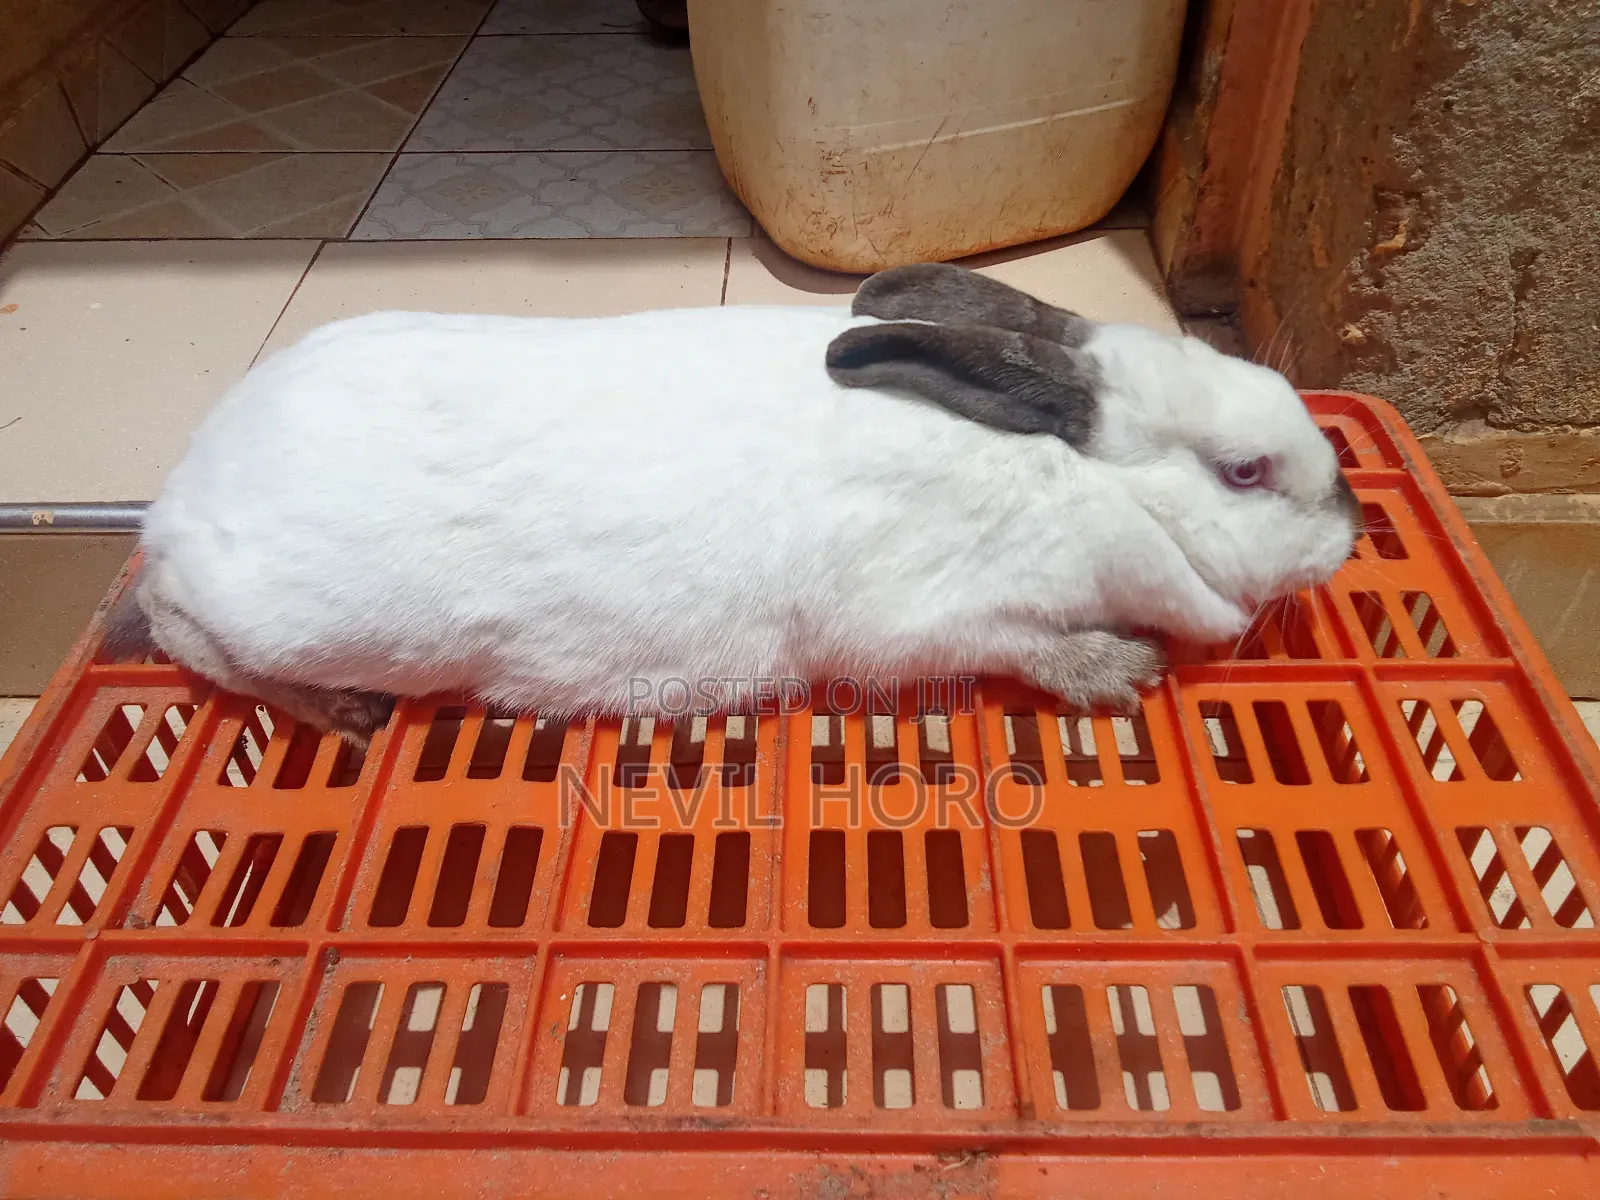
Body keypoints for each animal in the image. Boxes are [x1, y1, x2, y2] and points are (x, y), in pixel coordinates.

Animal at [106, 263, 1359, 746]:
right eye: (1245, 472)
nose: (1352, 532)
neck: (1070, 473)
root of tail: (180, 490)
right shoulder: (921, 619)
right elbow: (1019, 643)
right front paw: (1116, 671)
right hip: (295, 615)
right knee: (178, 627)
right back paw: (341, 712)